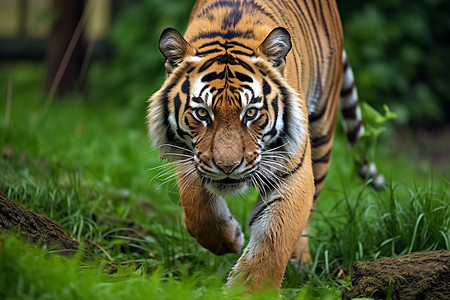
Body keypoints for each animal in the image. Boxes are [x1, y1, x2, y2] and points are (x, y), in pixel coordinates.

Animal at [147, 0, 384, 290]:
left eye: (251, 113)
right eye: (202, 113)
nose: (228, 167)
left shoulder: (292, 169)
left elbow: (275, 238)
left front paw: (249, 290)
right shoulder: (190, 159)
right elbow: (196, 209)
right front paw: (229, 239)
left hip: (322, 134)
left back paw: (301, 263)